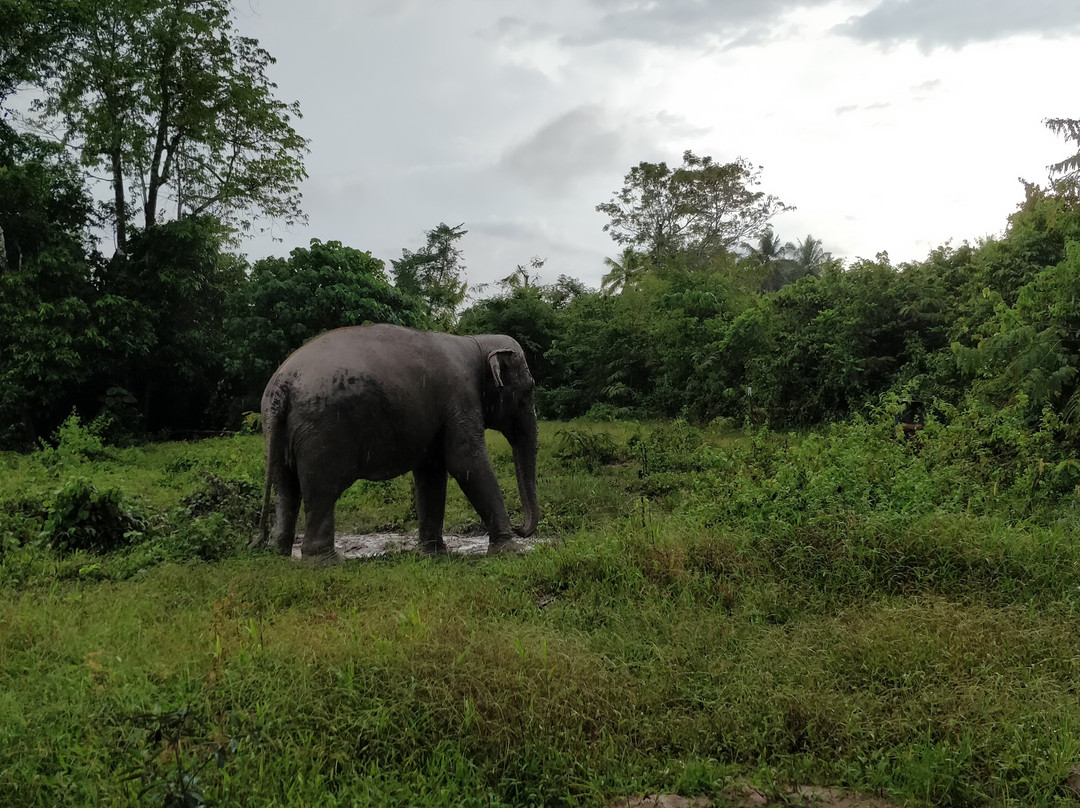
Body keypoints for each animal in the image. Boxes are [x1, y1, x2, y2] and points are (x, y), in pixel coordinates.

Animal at [251, 324, 540, 557]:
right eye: (530, 389)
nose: (520, 526)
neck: (475, 343)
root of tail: (281, 385)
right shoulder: (461, 397)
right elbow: (466, 463)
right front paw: (510, 552)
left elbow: (431, 473)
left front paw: (433, 555)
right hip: (321, 430)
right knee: (321, 489)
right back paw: (324, 562)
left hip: (277, 429)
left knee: (286, 488)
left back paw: (279, 553)